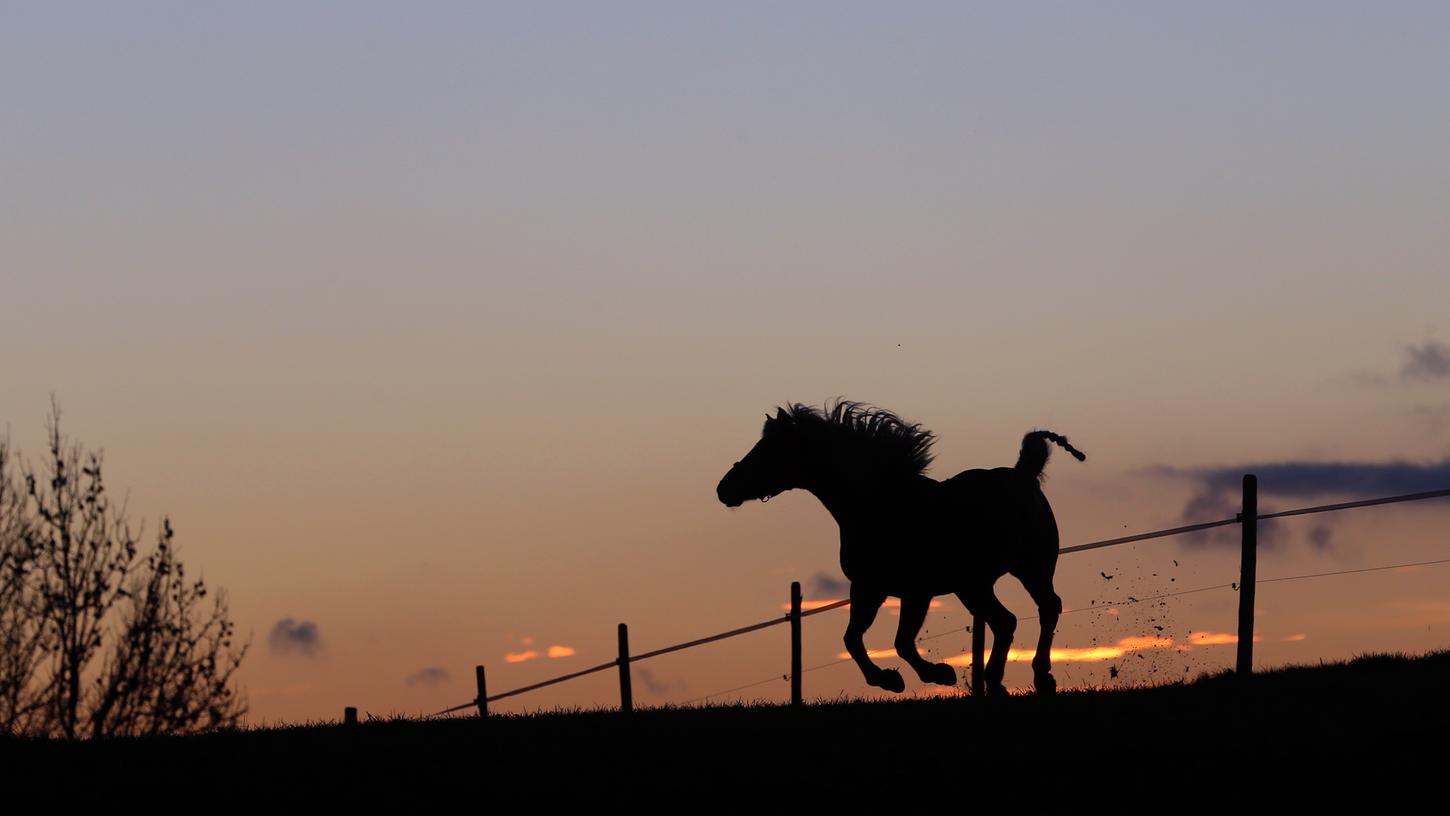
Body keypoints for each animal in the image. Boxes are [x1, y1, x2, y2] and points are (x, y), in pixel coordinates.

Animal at [719, 402, 1084, 695]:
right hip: (996, 579)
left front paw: (936, 674)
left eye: (767, 449)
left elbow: (900, 642)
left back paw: (1020, 680)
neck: (880, 504)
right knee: (1022, 616)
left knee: (1026, 615)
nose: (724, 489)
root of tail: (1024, 475)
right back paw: (1015, 680)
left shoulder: (914, 591)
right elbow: (854, 638)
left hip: (1007, 575)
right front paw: (889, 679)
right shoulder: (869, 588)